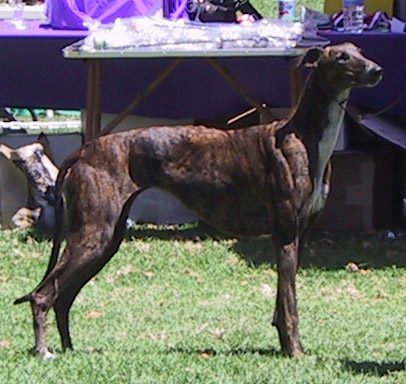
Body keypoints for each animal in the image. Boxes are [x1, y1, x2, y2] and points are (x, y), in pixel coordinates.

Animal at [15, 43, 382, 358]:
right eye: (342, 58)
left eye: (359, 51)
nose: (377, 70)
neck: (304, 135)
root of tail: (83, 151)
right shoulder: (286, 236)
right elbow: (290, 305)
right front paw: (295, 353)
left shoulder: (293, 237)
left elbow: (282, 302)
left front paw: (285, 345)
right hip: (93, 235)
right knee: (43, 294)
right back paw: (44, 351)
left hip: (106, 240)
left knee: (62, 297)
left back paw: (69, 349)